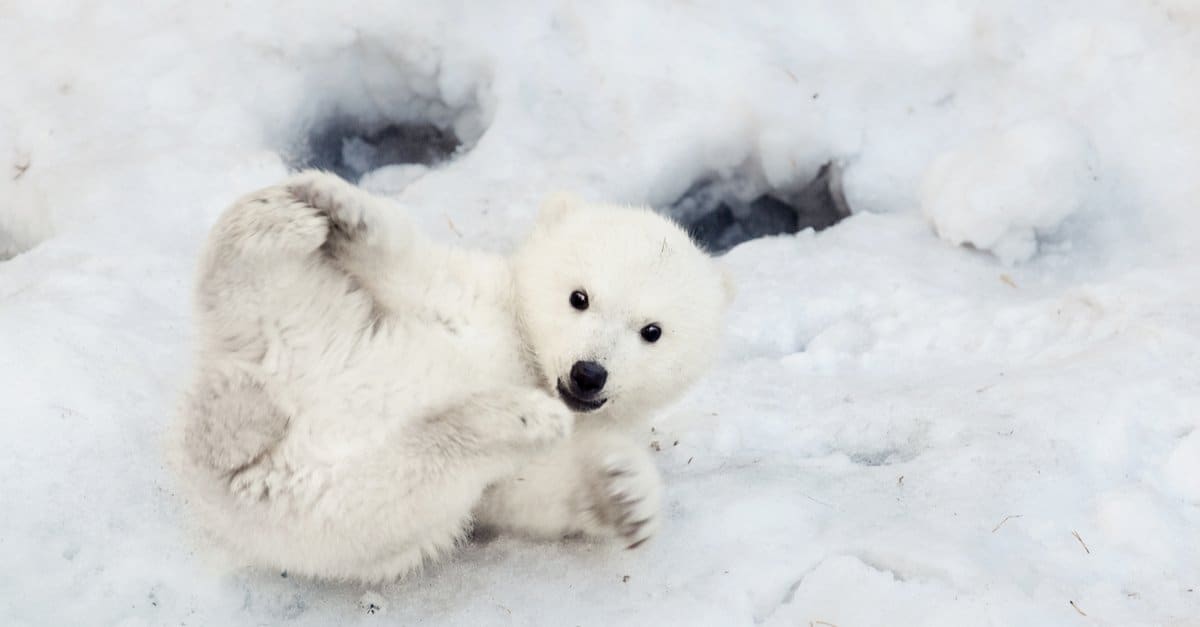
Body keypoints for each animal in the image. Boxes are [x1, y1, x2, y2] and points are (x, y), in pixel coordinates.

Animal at [173, 170, 731, 582]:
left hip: (307, 491)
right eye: (580, 296)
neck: (527, 359)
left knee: (390, 491)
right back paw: (278, 219)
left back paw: (515, 418)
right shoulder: (476, 303)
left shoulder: (570, 439)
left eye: (652, 331)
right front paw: (343, 208)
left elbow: (536, 486)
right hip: (313, 320)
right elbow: (414, 271)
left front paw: (626, 493)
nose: (588, 373)